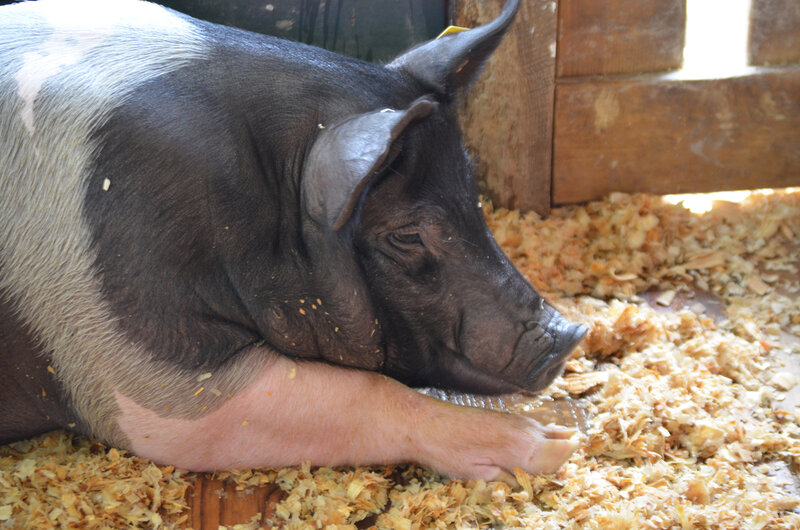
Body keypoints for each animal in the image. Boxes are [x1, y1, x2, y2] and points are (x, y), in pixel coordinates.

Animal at [0, 0, 587, 481]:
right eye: (406, 235)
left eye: (473, 195)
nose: (570, 333)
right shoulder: (131, 347)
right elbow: (359, 394)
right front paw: (553, 446)